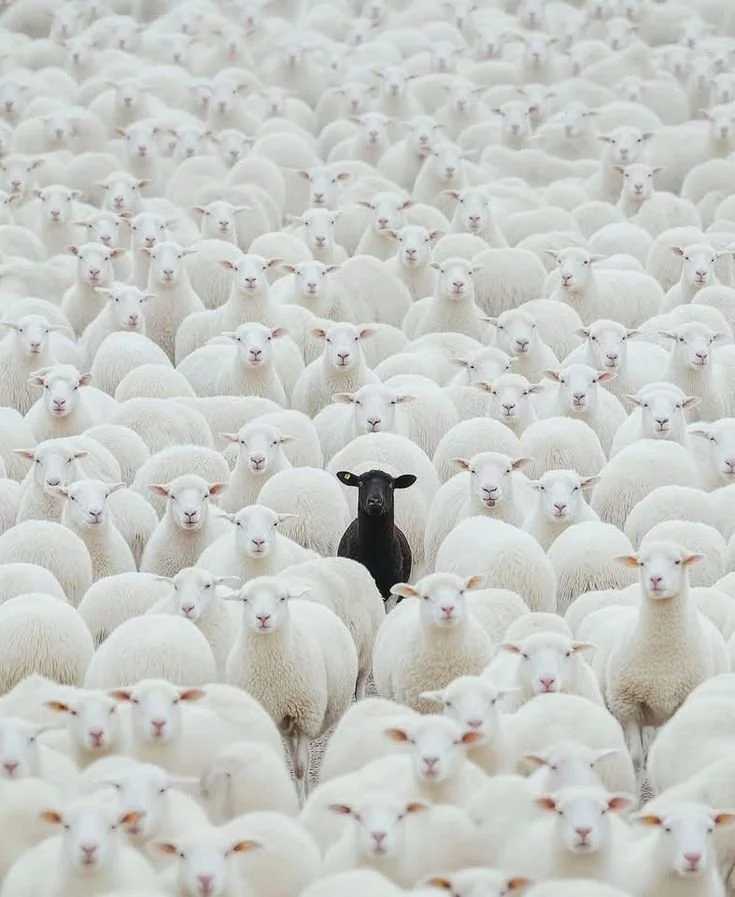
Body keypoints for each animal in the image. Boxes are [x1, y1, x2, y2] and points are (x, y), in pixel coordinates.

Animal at [223, 574, 358, 800]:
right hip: (285, 725)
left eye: (282, 598)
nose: (263, 617)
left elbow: (301, 768)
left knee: (305, 760)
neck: (272, 676)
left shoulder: (305, 718)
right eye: (245, 599)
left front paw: (302, 801)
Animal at [583, 542, 729, 770]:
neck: (662, 654)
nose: (655, 579)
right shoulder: (627, 704)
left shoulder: (677, 704)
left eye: (677, 561)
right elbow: (635, 755)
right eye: (642, 563)